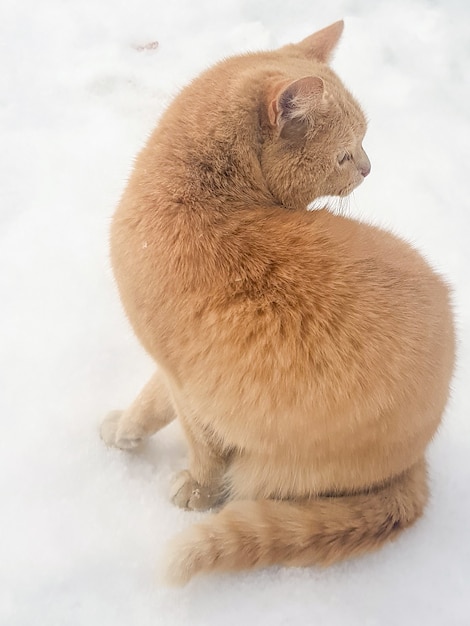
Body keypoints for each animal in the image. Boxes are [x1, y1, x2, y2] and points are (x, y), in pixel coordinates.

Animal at [100, 20, 456, 584]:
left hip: (271, 464)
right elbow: (149, 404)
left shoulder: (192, 389)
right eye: (346, 153)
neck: (205, 197)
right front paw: (124, 435)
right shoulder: (175, 373)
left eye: (360, 146)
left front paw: (194, 492)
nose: (369, 168)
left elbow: (199, 451)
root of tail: (414, 462)